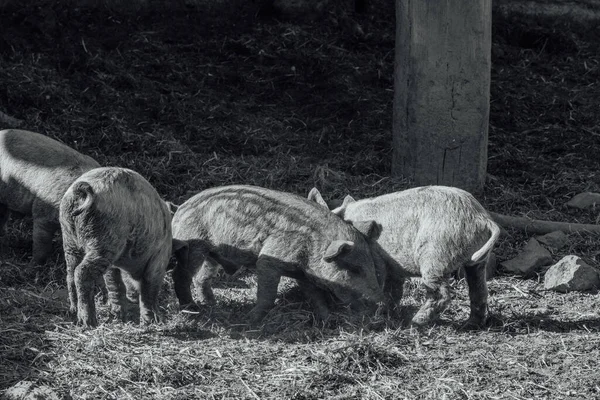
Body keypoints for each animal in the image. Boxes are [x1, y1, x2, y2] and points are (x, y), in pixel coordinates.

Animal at [59, 167, 177, 326]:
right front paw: (152, 321)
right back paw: (89, 322)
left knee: (70, 274)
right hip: (104, 239)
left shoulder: (114, 263)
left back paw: (73, 312)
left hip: (69, 238)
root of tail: (81, 188)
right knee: (81, 272)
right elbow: (149, 289)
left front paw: (120, 318)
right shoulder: (159, 257)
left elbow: (115, 285)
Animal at [169, 186, 384, 324]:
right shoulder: (268, 259)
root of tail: (179, 209)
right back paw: (192, 308)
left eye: (371, 265)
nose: (380, 303)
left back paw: (211, 304)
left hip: (212, 255)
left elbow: (315, 295)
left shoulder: (303, 274)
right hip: (193, 244)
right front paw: (251, 319)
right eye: (354, 268)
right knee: (180, 275)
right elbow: (268, 293)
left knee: (201, 278)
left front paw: (326, 319)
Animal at [310, 185, 502, 328]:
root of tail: (482, 218)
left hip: (435, 255)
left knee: (442, 293)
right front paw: (391, 313)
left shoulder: (376, 258)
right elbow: (394, 289)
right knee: (478, 289)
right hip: (476, 261)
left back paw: (416, 322)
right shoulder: (394, 267)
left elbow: (380, 283)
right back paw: (470, 325)